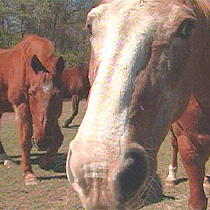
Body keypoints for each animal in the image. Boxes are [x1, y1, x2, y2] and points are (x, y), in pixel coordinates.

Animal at [0, 34, 64, 185]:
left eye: (58, 95)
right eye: (31, 94)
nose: (42, 141)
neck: (25, 67)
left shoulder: (53, 116)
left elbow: (58, 138)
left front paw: (44, 162)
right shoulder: (21, 106)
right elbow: (24, 141)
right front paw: (28, 174)